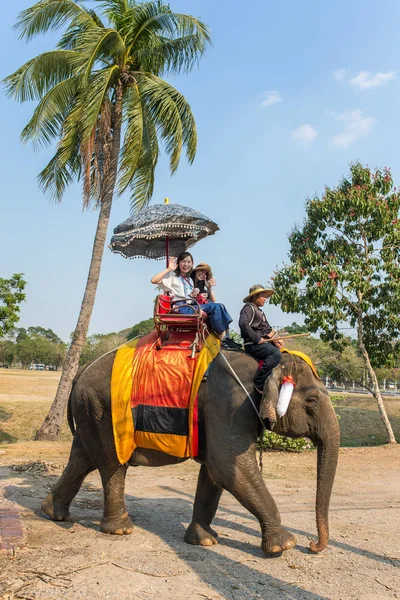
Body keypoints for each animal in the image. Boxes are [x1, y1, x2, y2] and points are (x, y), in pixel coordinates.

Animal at [41, 350, 340, 556]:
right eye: (312, 400)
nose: (313, 545)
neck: (263, 365)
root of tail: (81, 370)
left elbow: (213, 473)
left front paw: (204, 540)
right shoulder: (228, 404)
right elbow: (229, 467)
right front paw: (285, 545)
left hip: (90, 411)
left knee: (82, 459)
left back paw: (54, 513)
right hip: (105, 413)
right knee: (113, 465)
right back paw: (121, 529)